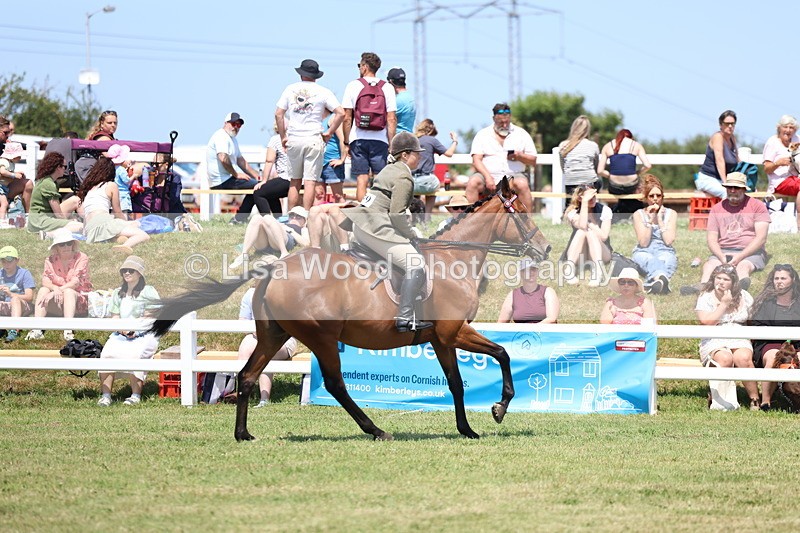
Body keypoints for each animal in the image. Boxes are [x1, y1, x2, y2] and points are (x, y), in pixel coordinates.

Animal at [150, 177, 551, 441]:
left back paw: (243, 434)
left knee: (248, 376)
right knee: (335, 384)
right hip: (322, 337)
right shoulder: (454, 332)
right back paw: (376, 429)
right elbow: (502, 354)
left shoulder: (441, 339)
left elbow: (456, 383)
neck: (453, 259)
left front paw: (467, 429)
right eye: (523, 215)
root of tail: (274, 267)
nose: (545, 248)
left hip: (273, 335)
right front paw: (499, 409)